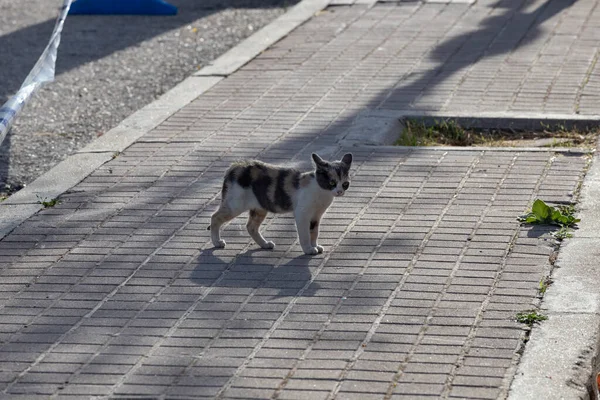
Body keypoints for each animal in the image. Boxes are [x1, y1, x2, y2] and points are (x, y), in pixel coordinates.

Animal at [210, 152, 352, 255]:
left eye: (345, 184)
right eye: (332, 182)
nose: (339, 191)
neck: (322, 193)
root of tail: (236, 165)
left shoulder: (316, 216)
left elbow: (314, 232)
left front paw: (315, 246)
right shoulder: (302, 214)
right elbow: (305, 234)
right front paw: (308, 249)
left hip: (260, 208)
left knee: (251, 227)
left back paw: (265, 244)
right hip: (235, 205)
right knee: (214, 217)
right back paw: (217, 242)